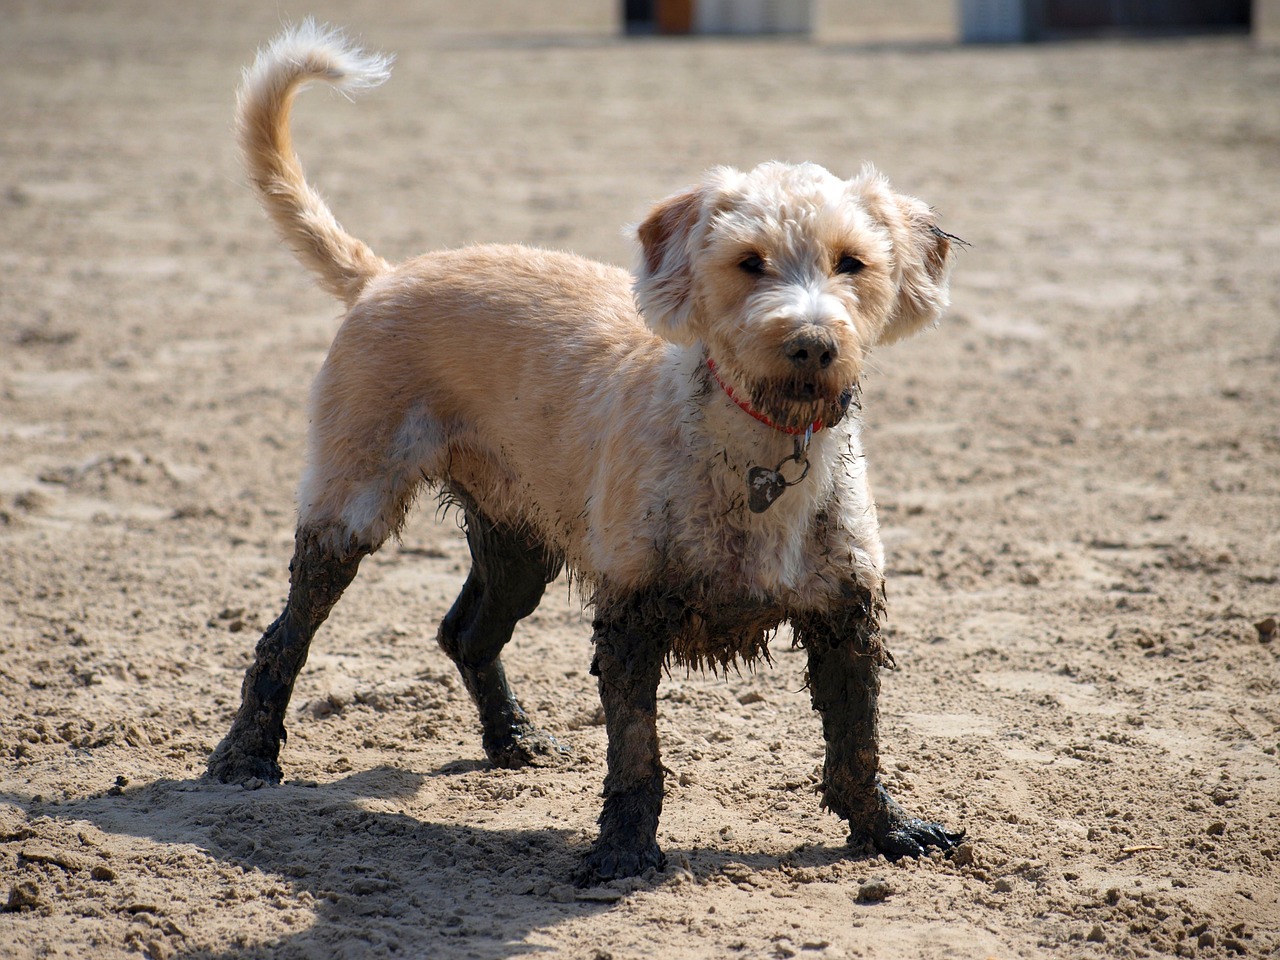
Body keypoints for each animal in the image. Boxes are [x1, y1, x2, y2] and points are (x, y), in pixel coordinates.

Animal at [209, 20, 962, 885]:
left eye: (852, 263)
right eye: (749, 262)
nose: (810, 344)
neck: (759, 452)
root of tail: (384, 277)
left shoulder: (845, 613)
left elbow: (857, 746)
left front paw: (887, 830)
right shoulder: (631, 615)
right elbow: (637, 755)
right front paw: (624, 851)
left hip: (518, 539)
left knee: (466, 633)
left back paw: (512, 739)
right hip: (350, 505)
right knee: (284, 638)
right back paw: (246, 756)